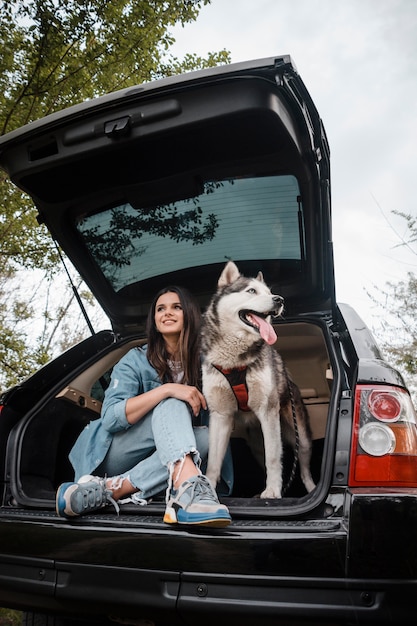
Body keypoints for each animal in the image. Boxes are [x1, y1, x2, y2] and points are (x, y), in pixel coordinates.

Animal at [202, 260, 316, 498]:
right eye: (251, 291)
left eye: (270, 292)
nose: (279, 299)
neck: (234, 362)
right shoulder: (220, 415)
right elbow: (214, 462)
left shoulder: (268, 410)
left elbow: (274, 458)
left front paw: (272, 491)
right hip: (257, 443)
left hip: (299, 436)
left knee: (302, 467)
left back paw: (309, 489)